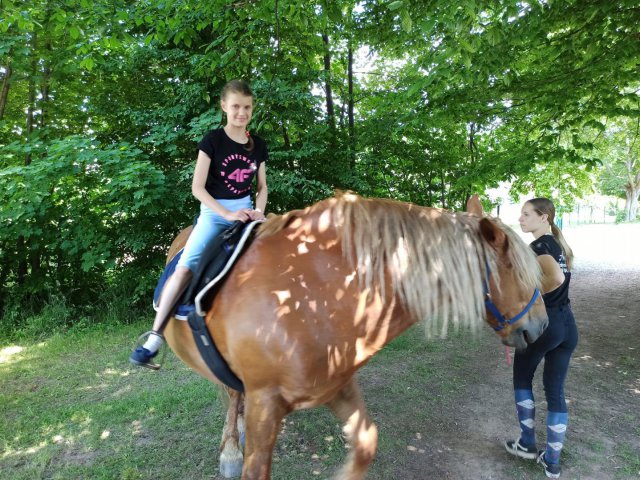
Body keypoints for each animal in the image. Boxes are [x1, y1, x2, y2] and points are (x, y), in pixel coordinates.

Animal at [161, 192, 544, 480]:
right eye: (514, 269)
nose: (541, 326)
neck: (313, 296)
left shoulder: (338, 387)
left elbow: (366, 445)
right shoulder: (265, 401)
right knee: (229, 395)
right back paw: (230, 449)